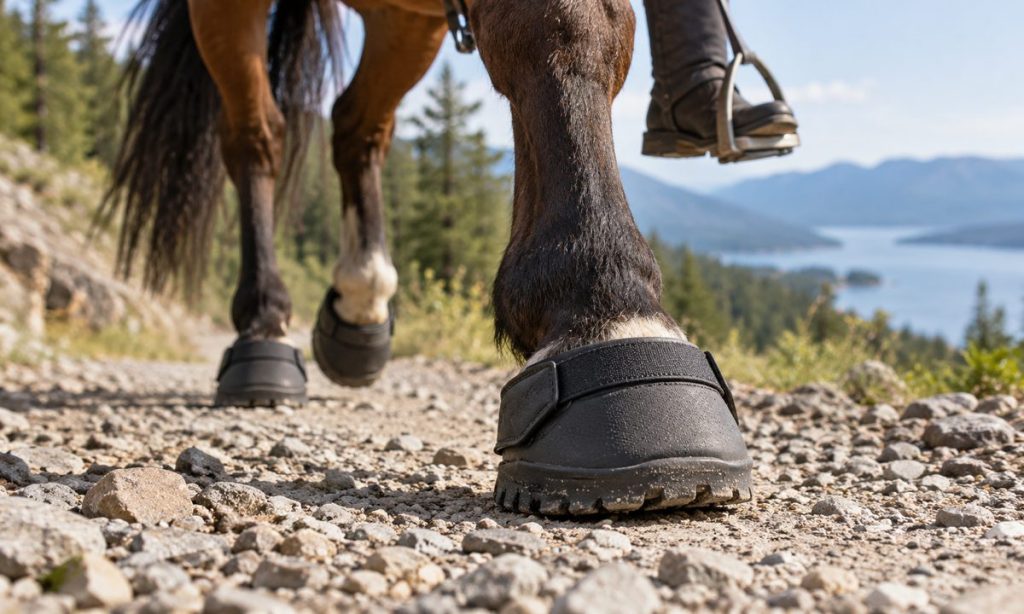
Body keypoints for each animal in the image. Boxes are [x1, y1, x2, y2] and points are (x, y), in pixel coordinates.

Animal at [105, 0, 753, 516]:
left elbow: (586, 30)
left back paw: (359, 312)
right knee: (256, 135)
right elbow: (555, 22)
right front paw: (601, 308)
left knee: (357, 124)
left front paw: (623, 317)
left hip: (405, 23)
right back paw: (264, 334)